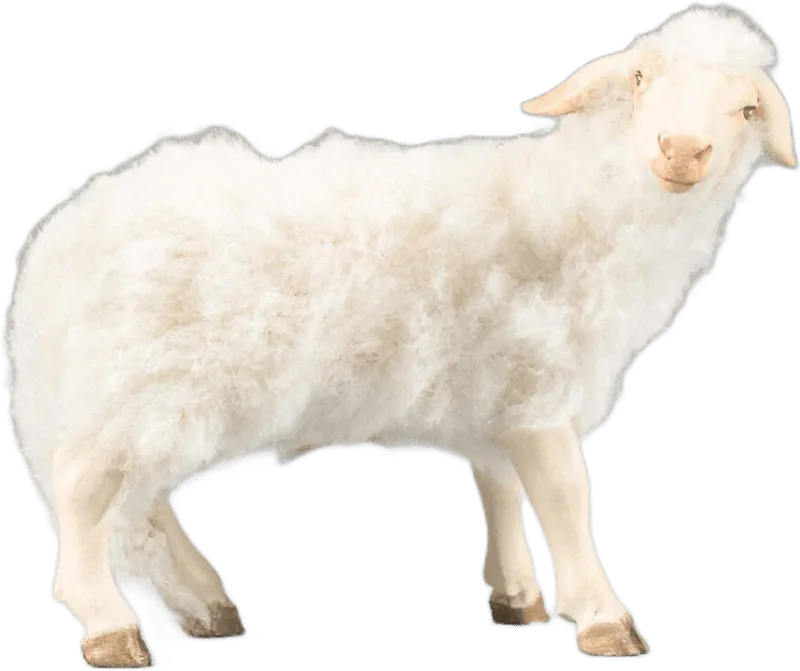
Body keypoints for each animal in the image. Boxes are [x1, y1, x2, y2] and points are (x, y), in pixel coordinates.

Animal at [4, 3, 796, 667]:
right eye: (638, 78)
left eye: (746, 106)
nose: (682, 150)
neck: (573, 202)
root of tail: (60, 247)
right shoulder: (537, 388)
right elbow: (566, 497)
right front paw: (603, 618)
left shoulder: (495, 398)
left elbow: (503, 486)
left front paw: (518, 599)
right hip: (135, 379)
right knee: (84, 490)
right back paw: (110, 628)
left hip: (147, 392)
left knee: (138, 504)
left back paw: (207, 605)